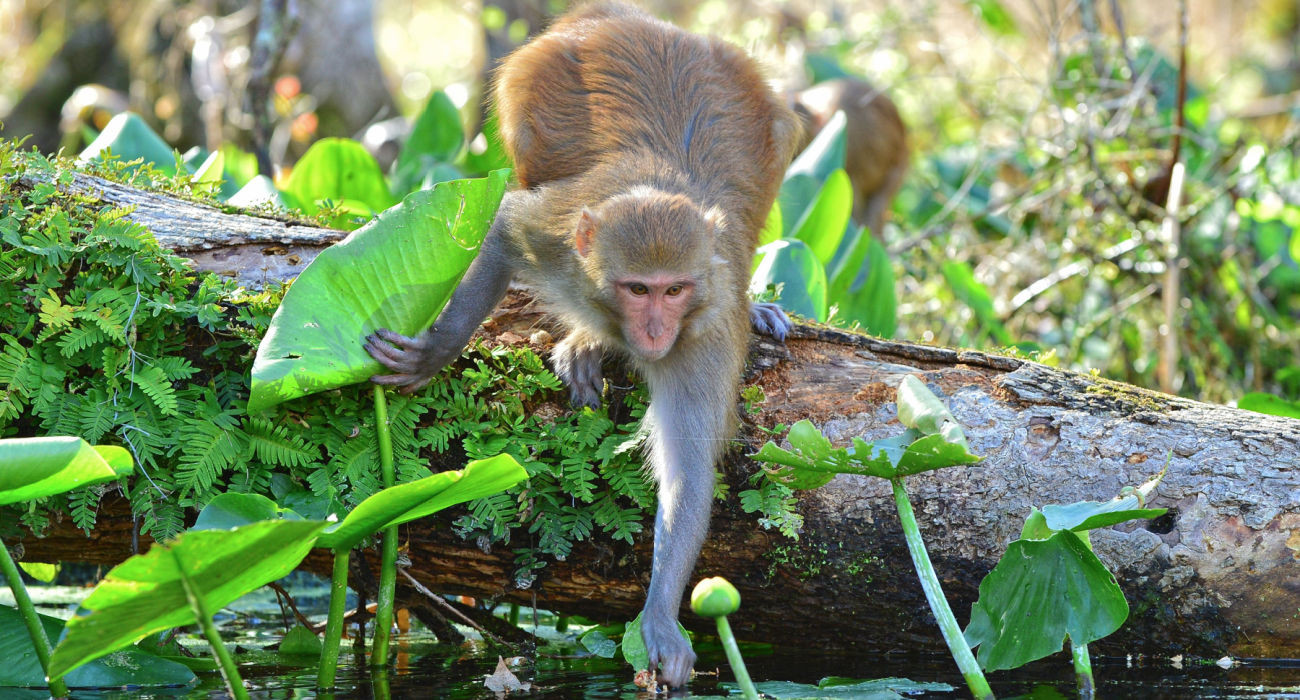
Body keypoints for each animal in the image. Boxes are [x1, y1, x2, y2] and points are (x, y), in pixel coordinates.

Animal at [363, 2, 800, 688]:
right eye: (638, 289)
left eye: (674, 290)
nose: (655, 331)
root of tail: (639, 22)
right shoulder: (556, 241)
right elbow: (504, 229)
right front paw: (437, 351)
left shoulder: (703, 330)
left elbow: (688, 466)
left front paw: (659, 616)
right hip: (536, 78)